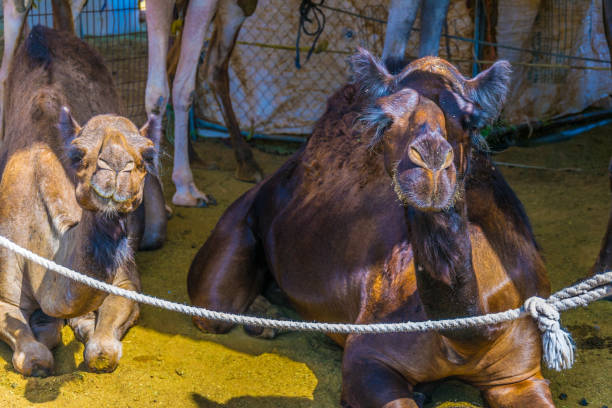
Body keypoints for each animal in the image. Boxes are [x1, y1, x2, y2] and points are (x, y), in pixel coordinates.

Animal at [0, 25, 163, 376]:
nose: (115, 166)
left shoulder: (126, 280)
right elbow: (33, 356)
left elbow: (101, 351)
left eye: (147, 154)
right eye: (77, 154)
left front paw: (81, 327)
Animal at [186, 50, 556, 408]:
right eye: (386, 120)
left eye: (470, 119)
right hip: (243, 215)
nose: (431, 166)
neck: (466, 339)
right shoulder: (368, 356)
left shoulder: (519, 375)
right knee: (214, 309)